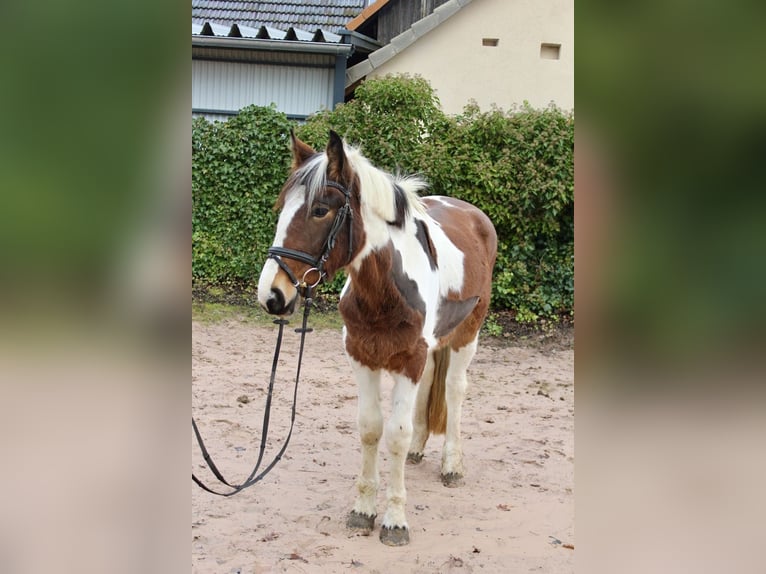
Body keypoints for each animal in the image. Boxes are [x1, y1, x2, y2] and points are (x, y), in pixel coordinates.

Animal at [258, 132, 498, 548]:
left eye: (320, 210)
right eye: (282, 208)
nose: (271, 295)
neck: (385, 290)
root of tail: (472, 213)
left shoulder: (410, 361)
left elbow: (395, 435)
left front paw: (395, 521)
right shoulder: (363, 357)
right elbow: (370, 428)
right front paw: (363, 511)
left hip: (467, 336)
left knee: (454, 389)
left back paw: (451, 465)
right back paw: (420, 450)